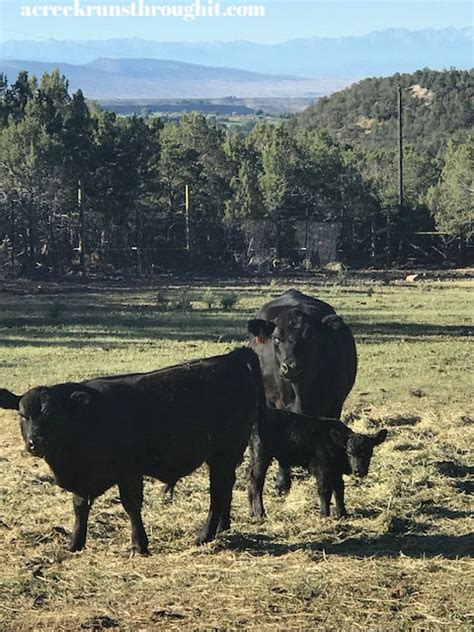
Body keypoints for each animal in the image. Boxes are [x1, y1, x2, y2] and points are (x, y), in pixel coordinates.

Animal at [0, 348, 264, 556]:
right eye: (22, 415)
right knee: (225, 488)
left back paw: (204, 536)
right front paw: (75, 543)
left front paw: (139, 545)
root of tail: (232, 357)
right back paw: (221, 528)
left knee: (218, 492)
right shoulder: (83, 479)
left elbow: (131, 506)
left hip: (223, 454)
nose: (35, 442)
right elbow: (80, 507)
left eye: (52, 415)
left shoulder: (128, 472)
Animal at [246, 408, 386, 520]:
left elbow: (339, 490)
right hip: (261, 457)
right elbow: (324, 491)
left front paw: (343, 514)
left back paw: (252, 513)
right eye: (349, 452)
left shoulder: (335, 472)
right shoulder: (323, 470)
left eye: (369, 452)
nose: (358, 470)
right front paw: (324, 515)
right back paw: (261, 514)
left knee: (250, 479)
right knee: (257, 483)